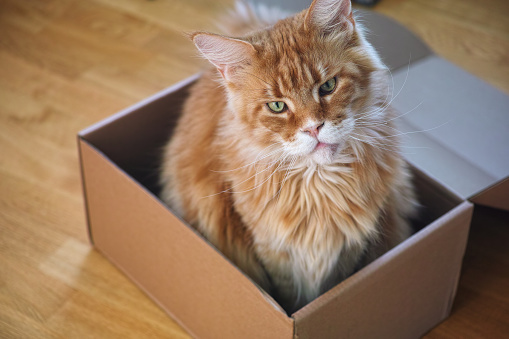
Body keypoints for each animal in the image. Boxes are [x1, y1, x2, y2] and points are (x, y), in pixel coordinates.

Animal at [161, 0, 414, 314]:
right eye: (277, 106)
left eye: (328, 86)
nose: (314, 128)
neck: (319, 187)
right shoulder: (272, 249)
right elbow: (289, 296)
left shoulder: (349, 248)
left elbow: (330, 290)